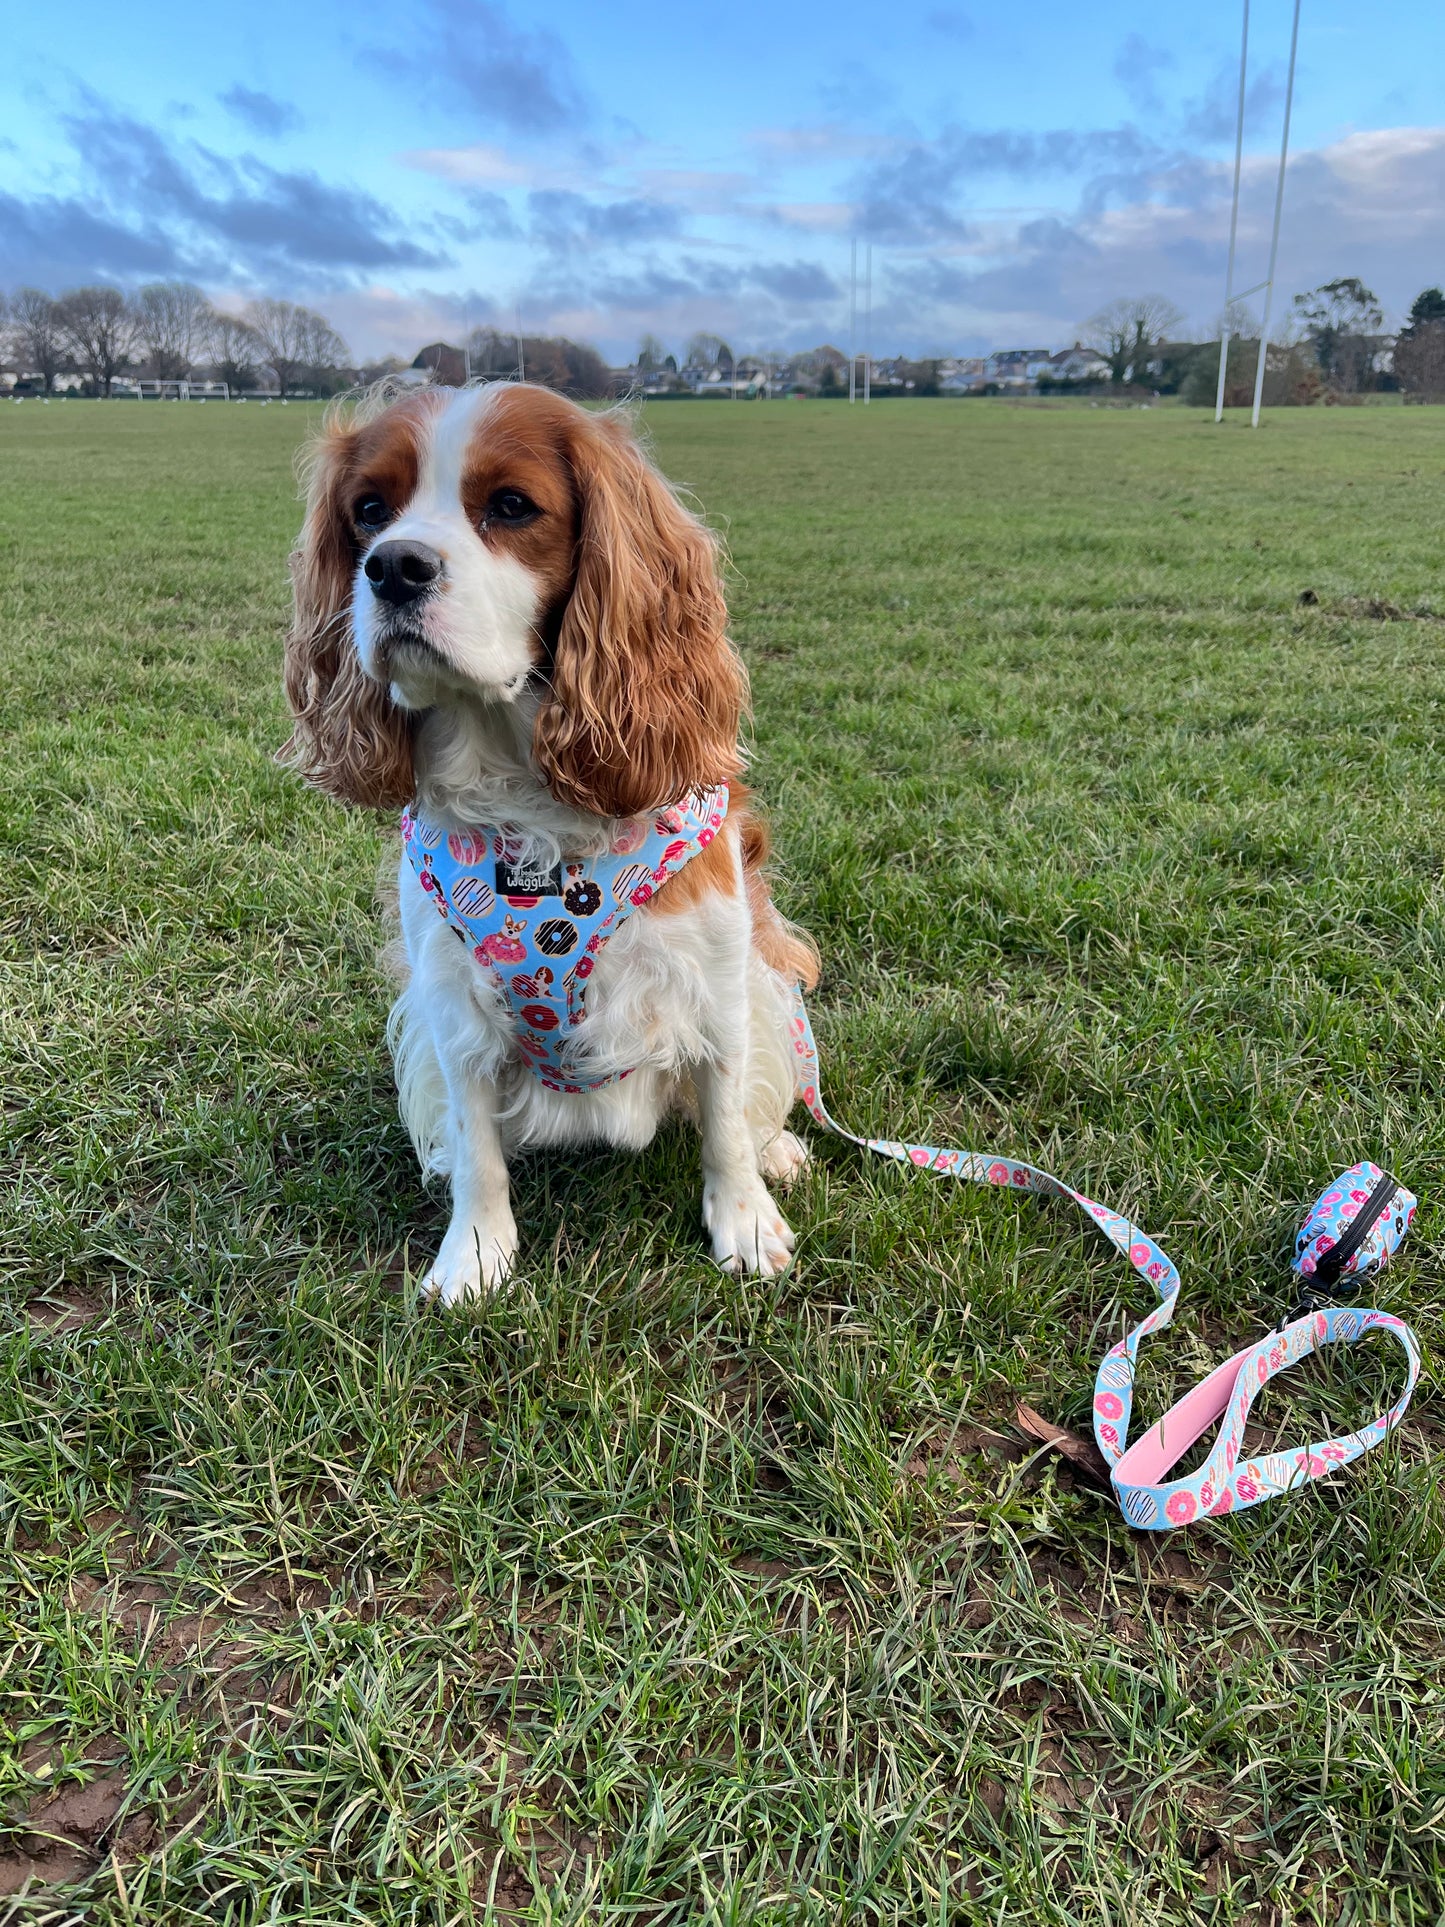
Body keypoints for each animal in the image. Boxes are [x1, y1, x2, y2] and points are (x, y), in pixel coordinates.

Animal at [283, 381, 820, 1302]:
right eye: (369, 511)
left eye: (510, 506)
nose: (392, 565)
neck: (527, 805)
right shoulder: (450, 1005)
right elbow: (479, 1152)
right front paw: (474, 1254)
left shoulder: (715, 978)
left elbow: (721, 1116)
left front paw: (744, 1222)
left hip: (767, 982)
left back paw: (777, 1148)